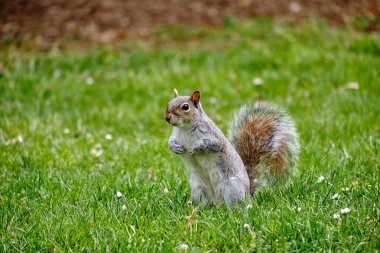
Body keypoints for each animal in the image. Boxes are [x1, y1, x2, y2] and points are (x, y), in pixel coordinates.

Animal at [164, 89, 300, 206]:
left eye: (185, 107)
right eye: (168, 103)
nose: (167, 117)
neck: (185, 128)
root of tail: (248, 195)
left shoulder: (212, 135)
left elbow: (213, 144)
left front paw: (196, 148)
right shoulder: (175, 135)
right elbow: (170, 143)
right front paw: (176, 148)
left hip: (233, 189)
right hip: (198, 189)